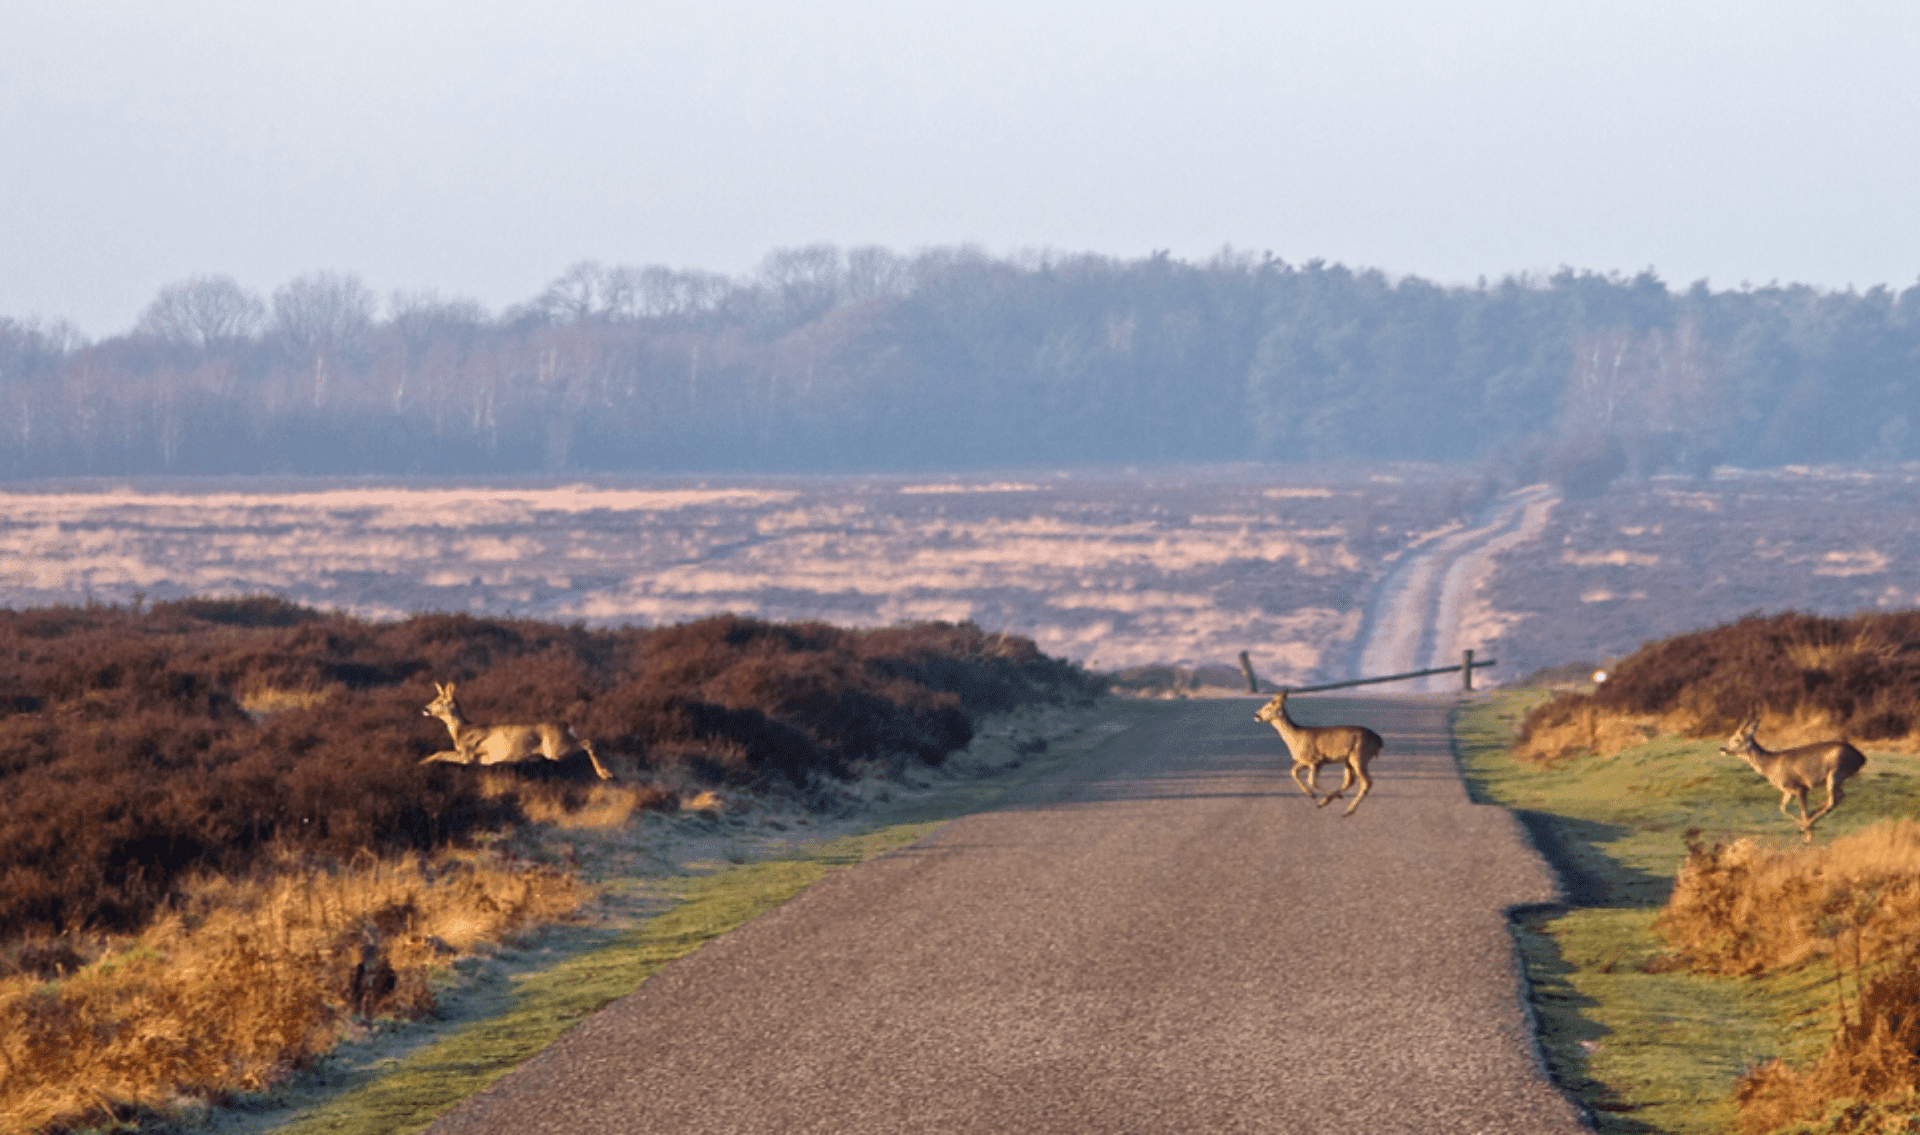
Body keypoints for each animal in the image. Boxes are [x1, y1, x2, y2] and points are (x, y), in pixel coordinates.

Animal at [424, 683, 610, 783]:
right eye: (434, 699)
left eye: (439, 701)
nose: (425, 709)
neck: (461, 731)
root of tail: (567, 725)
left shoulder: (467, 755)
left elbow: (439, 753)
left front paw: (421, 763)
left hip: (556, 750)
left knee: (588, 742)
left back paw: (605, 773)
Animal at [1720, 718, 1866, 845]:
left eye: (1737, 739)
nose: (1722, 749)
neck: (1770, 766)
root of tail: (1861, 758)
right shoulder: (1787, 791)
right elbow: (1783, 808)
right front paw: (1803, 827)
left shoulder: (1799, 787)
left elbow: (1802, 811)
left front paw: (1807, 834)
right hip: (1837, 778)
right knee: (1839, 796)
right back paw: (1812, 817)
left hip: (1836, 773)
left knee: (1832, 800)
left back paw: (1809, 823)